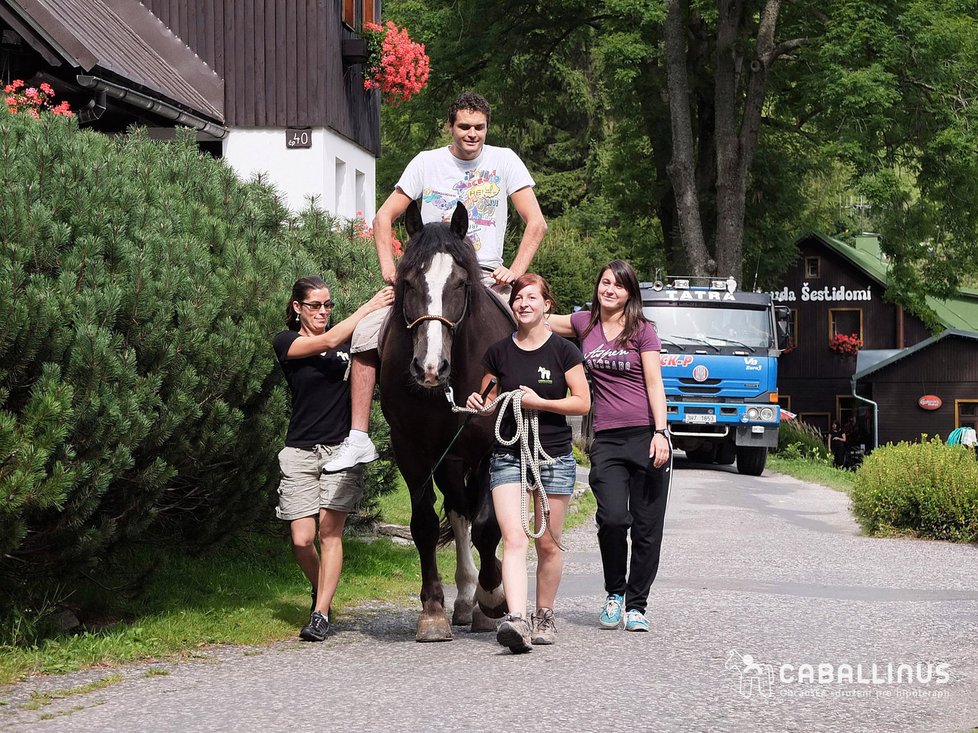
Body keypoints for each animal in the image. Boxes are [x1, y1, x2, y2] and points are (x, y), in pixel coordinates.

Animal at [382, 200, 516, 640]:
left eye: (459, 284)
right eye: (407, 282)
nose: (429, 368)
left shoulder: (493, 447)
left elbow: (489, 525)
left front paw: (493, 598)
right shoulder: (412, 449)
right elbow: (424, 525)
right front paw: (434, 610)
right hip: (451, 460)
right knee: (459, 514)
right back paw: (464, 599)